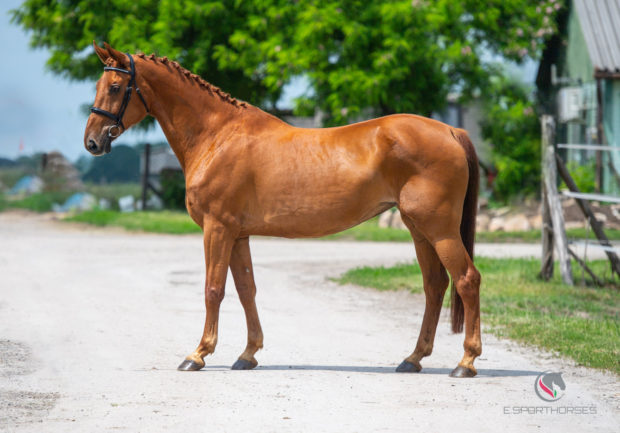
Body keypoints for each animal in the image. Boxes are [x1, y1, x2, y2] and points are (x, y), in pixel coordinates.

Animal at [83, 42, 480, 376]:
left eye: (115, 87)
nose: (92, 142)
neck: (218, 136)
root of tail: (450, 130)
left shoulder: (217, 228)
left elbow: (213, 289)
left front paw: (197, 354)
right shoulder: (238, 234)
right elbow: (246, 289)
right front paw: (247, 354)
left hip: (439, 229)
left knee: (466, 279)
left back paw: (466, 361)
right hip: (418, 229)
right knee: (435, 285)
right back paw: (413, 359)